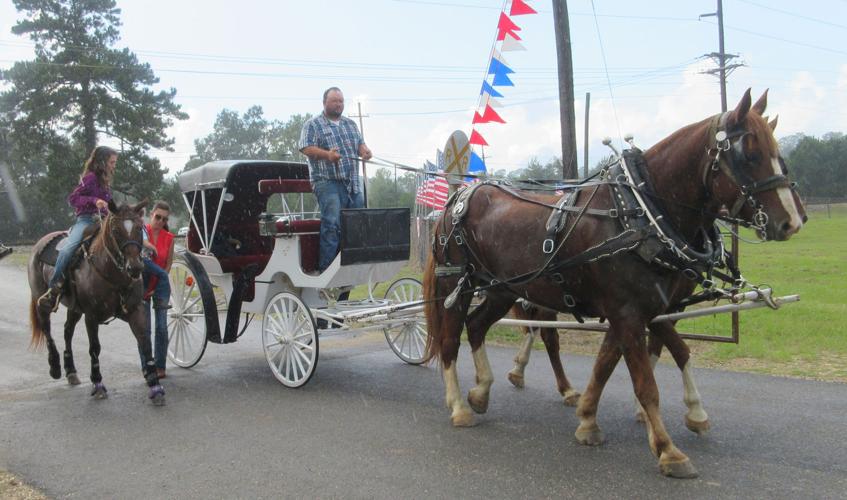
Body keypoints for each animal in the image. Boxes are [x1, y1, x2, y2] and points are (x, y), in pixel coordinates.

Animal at [27, 199, 164, 402]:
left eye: (139, 228)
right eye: (115, 230)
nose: (135, 267)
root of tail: (39, 244)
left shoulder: (135, 310)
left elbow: (145, 342)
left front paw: (155, 386)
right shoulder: (91, 316)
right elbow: (94, 348)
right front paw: (98, 383)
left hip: (74, 308)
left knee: (67, 331)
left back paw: (71, 371)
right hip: (41, 299)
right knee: (46, 327)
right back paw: (55, 366)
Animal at [428, 89, 804, 476]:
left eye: (779, 155)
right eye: (750, 155)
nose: (792, 221)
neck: (641, 214)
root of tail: (459, 197)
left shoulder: (648, 309)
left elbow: (632, 360)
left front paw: (592, 419)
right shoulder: (627, 313)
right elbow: (645, 382)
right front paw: (668, 449)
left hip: (503, 288)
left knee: (476, 326)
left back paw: (482, 391)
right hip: (456, 283)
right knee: (450, 338)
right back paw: (459, 405)